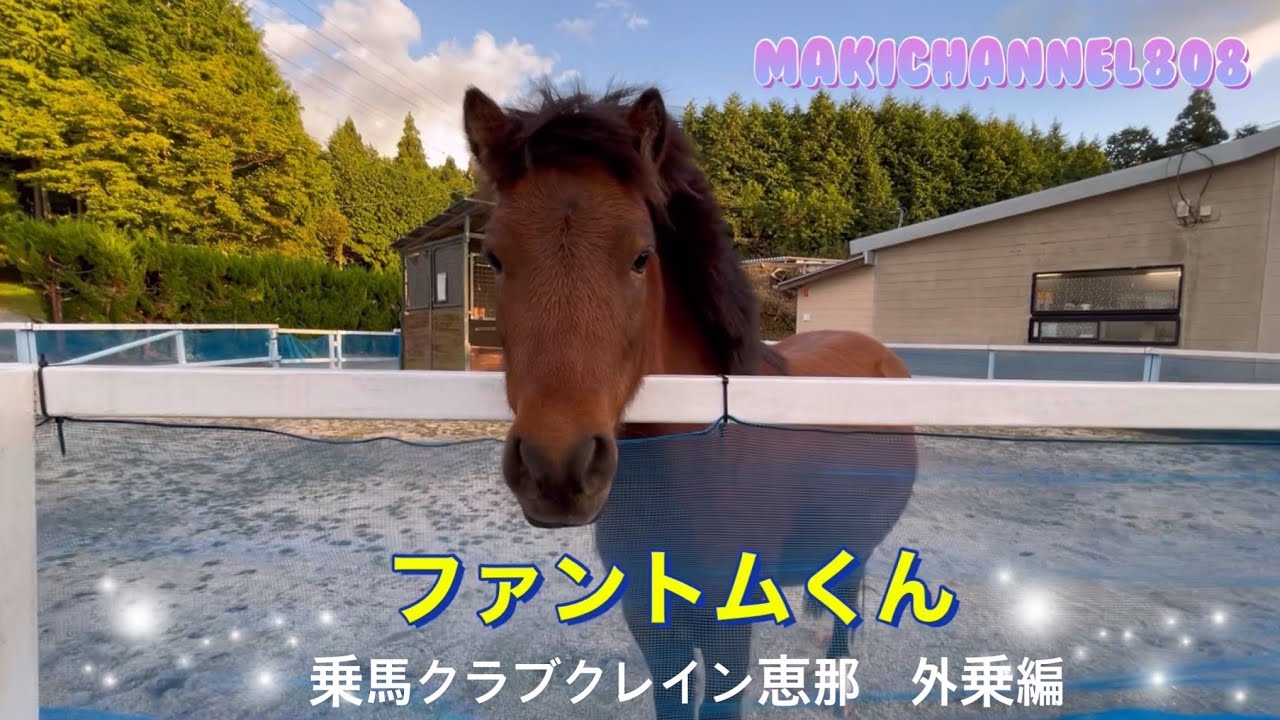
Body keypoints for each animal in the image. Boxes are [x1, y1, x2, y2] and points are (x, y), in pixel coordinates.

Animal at [461, 81, 919, 720]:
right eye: (496, 258)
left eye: (641, 257)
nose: (556, 467)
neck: (705, 461)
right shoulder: (652, 622)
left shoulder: (728, 629)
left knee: (848, 604)